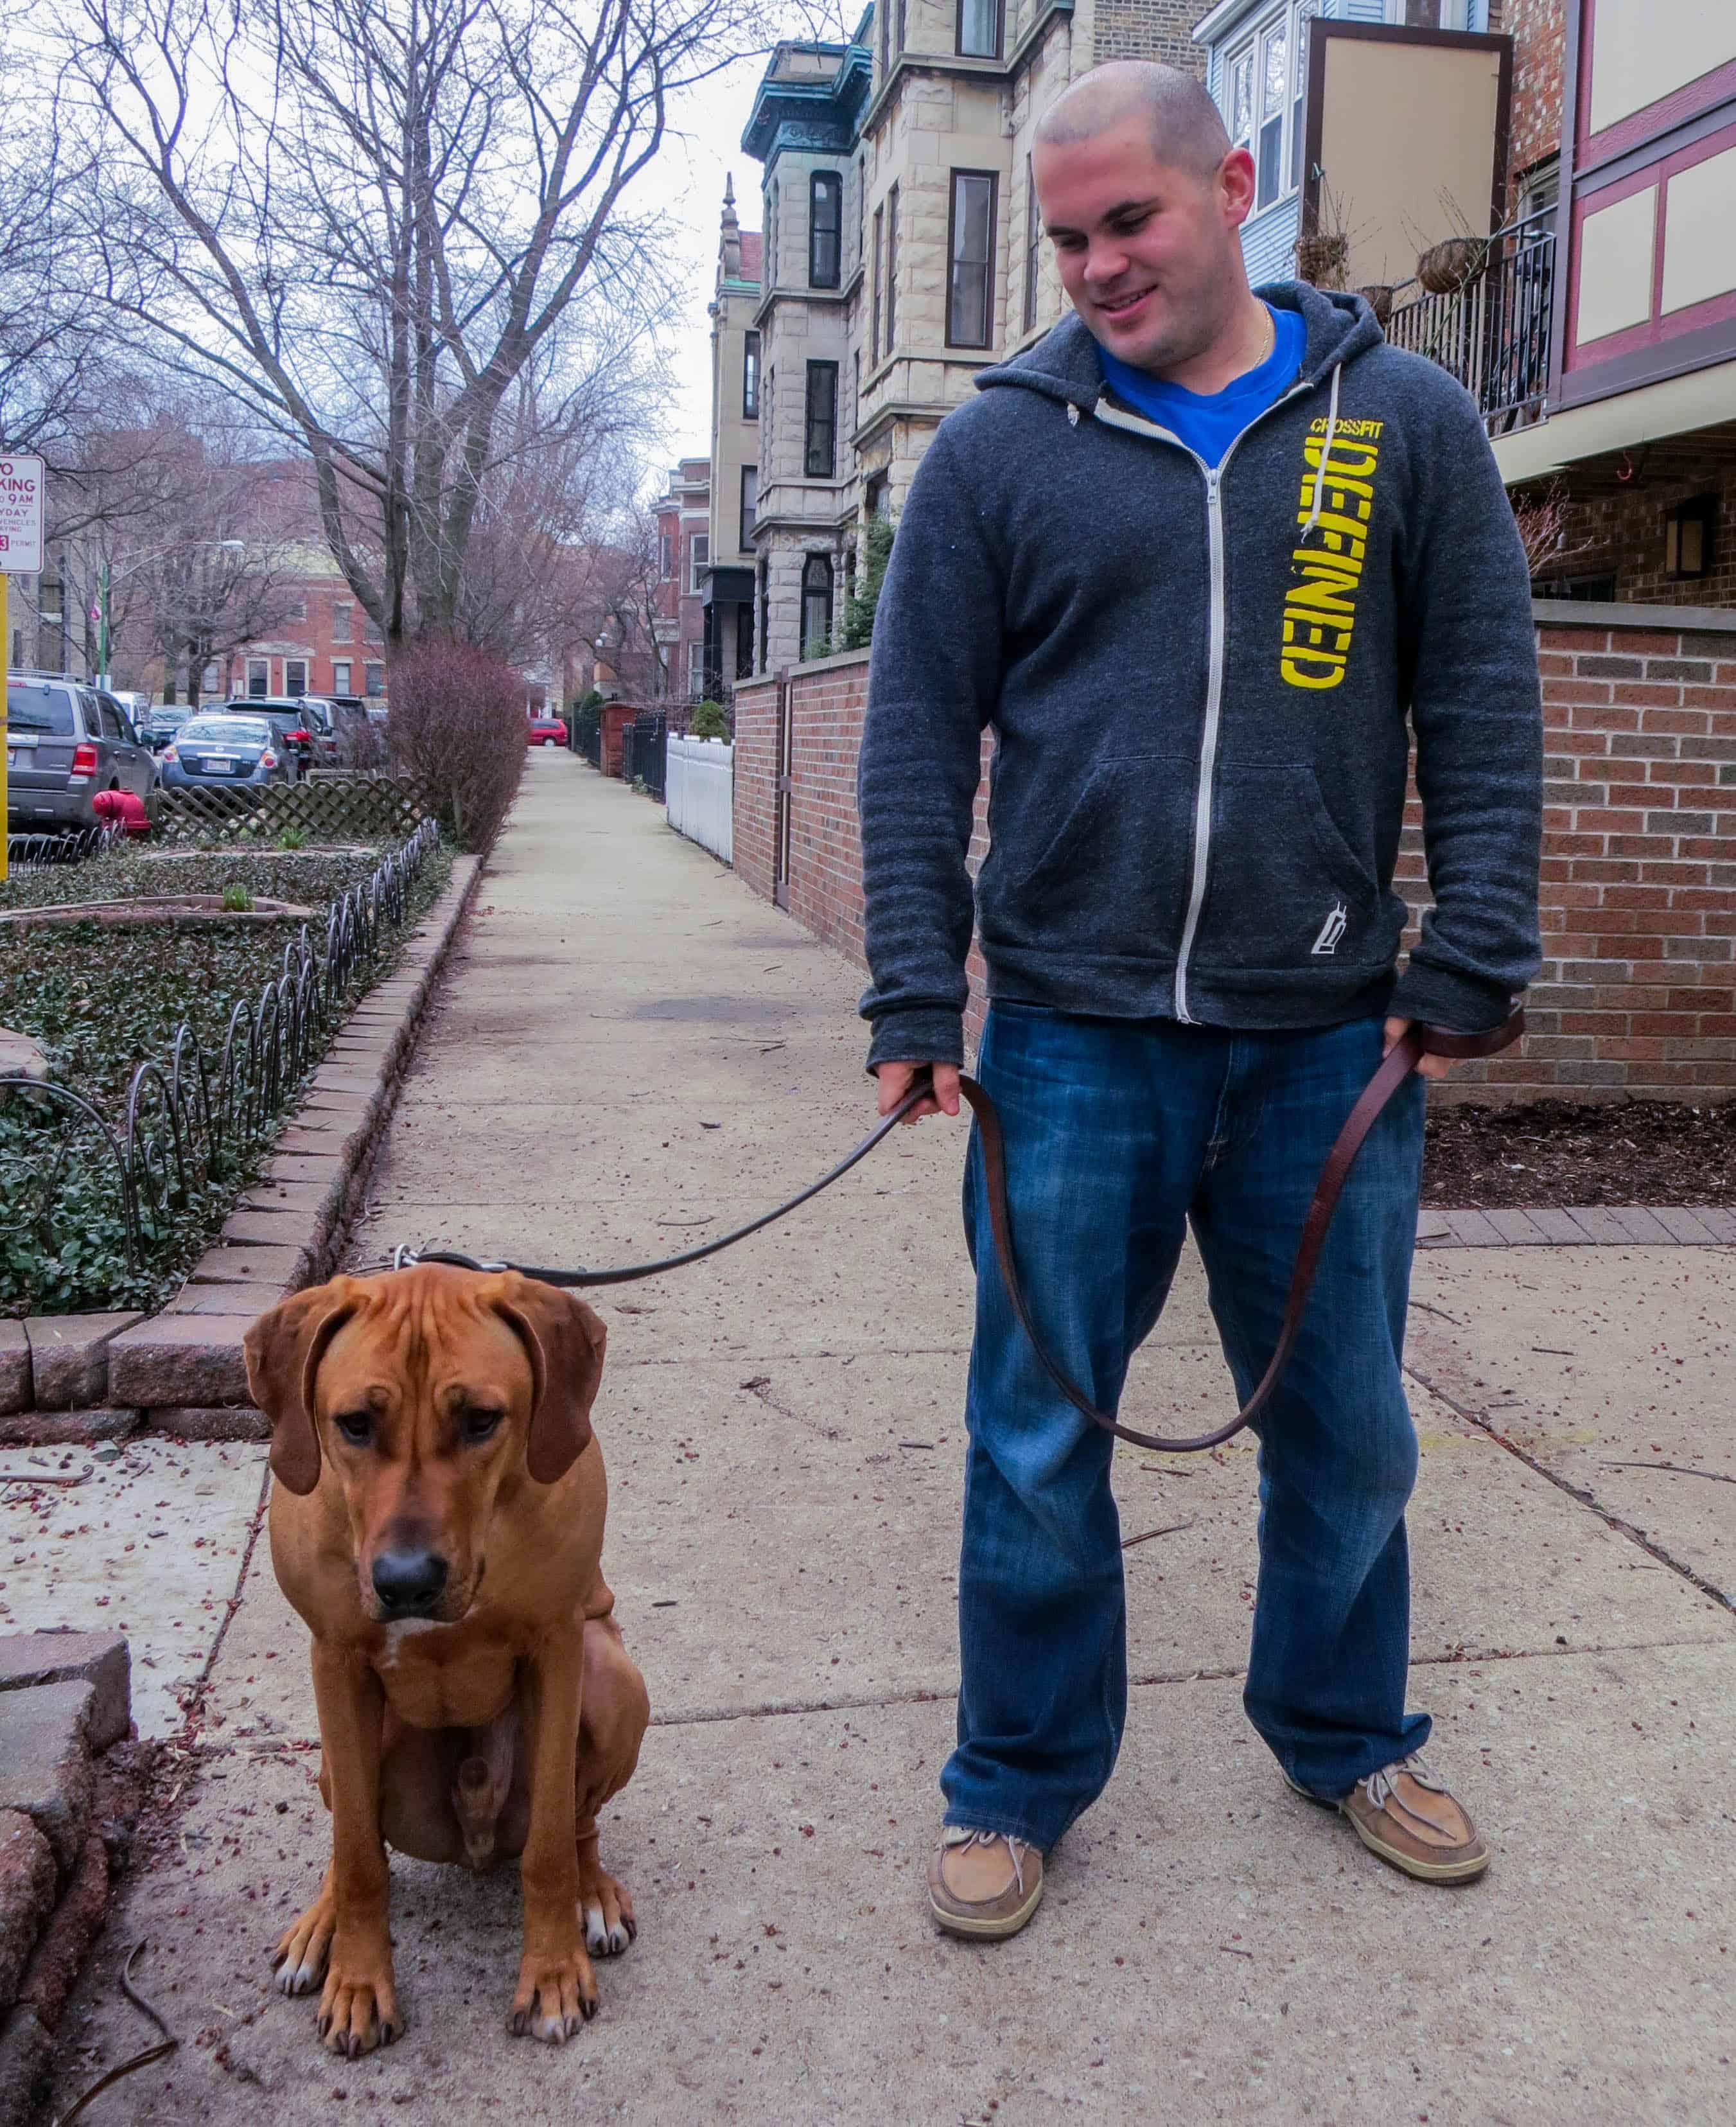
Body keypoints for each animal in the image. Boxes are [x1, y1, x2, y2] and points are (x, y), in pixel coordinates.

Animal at [244, 1259, 651, 2059]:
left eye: (480, 1419)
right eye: (355, 1423)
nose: (406, 1580)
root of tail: (475, 1839)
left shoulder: (557, 1645)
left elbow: (550, 1845)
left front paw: (553, 1973)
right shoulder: (336, 1658)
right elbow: (358, 1855)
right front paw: (359, 1981)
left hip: (614, 1680)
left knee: (578, 1821)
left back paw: (592, 1889)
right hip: (340, 1748)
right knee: (350, 1833)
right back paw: (320, 1925)